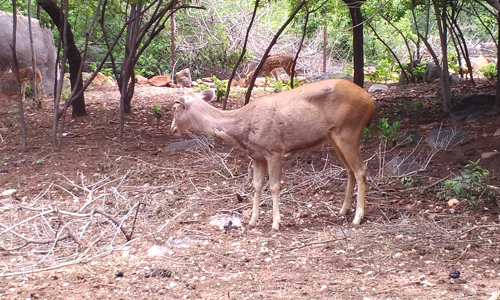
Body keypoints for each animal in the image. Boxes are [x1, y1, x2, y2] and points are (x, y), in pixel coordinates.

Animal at [171, 78, 376, 229]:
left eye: (176, 107)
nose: (172, 129)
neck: (242, 127)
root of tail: (370, 101)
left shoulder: (275, 149)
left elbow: (275, 186)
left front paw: (276, 223)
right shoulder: (256, 155)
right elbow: (256, 185)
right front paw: (252, 220)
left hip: (349, 130)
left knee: (361, 169)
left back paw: (357, 217)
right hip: (334, 136)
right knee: (350, 170)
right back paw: (343, 210)